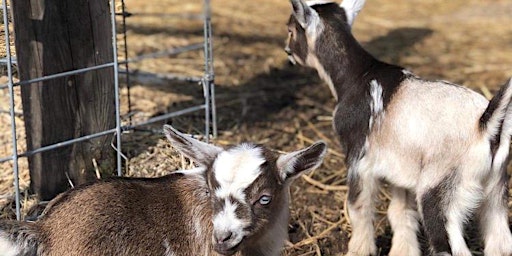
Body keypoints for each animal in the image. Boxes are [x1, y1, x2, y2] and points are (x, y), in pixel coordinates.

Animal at [286, 0, 512, 256]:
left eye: (291, 30)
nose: (287, 52)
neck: (357, 76)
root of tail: (486, 125)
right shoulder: (399, 168)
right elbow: (400, 212)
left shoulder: (358, 158)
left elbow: (358, 206)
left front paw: (359, 249)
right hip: (496, 189)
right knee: (501, 240)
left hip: (441, 188)